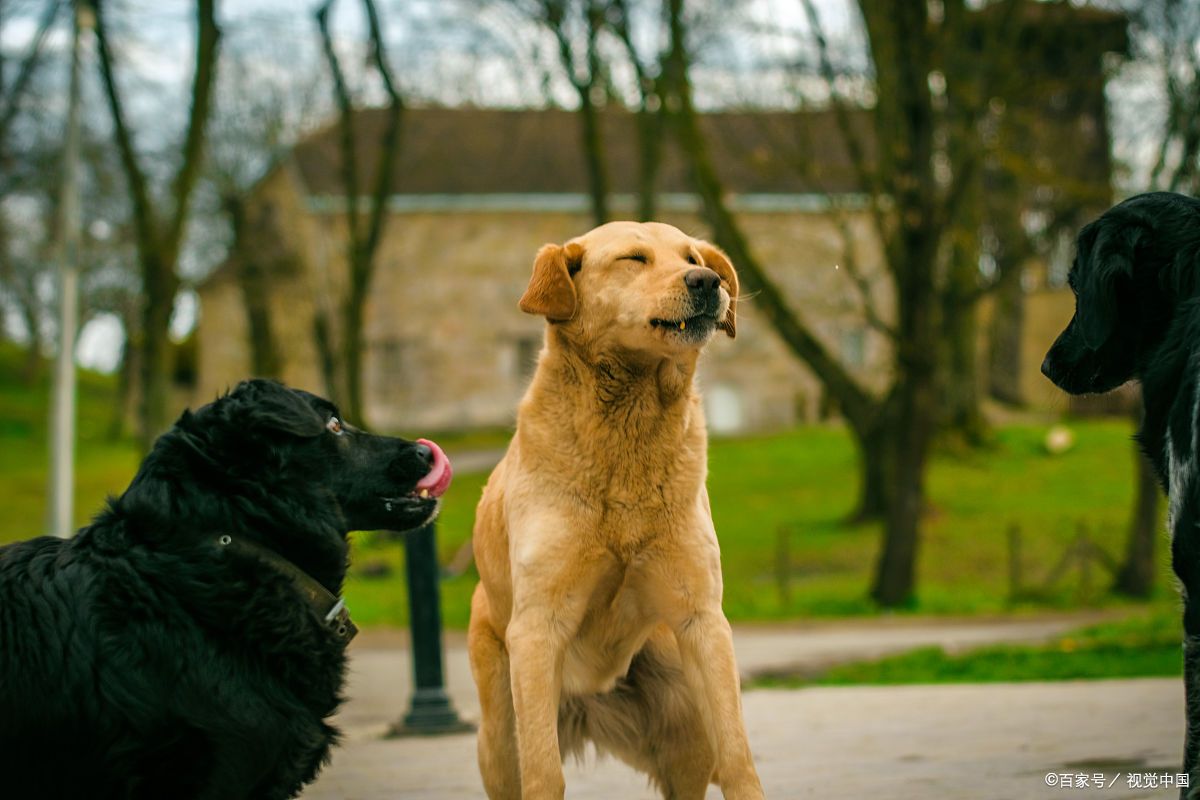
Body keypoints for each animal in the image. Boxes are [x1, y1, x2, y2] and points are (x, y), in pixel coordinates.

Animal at [465, 220, 758, 800]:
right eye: (633, 259)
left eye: (691, 258)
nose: (708, 282)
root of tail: (589, 701)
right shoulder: (537, 628)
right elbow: (543, 774)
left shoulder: (701, 620)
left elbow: (738, 758)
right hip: (499, 735)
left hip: (685, 722)